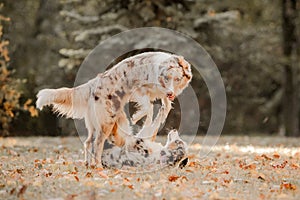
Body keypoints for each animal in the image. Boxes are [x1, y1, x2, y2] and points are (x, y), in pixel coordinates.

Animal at [35, 51, 192, 166]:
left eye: (177, 79)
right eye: (166, 78)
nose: (171, 93)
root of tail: (92, 84)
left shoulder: (161, 94)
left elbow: (164, 107)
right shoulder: (138, 90)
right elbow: (149, 107)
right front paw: (137, 117)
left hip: (95, 125)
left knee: (88, 142)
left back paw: (87, 164)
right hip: (107, 122)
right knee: (97, 144)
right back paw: (97, 166)